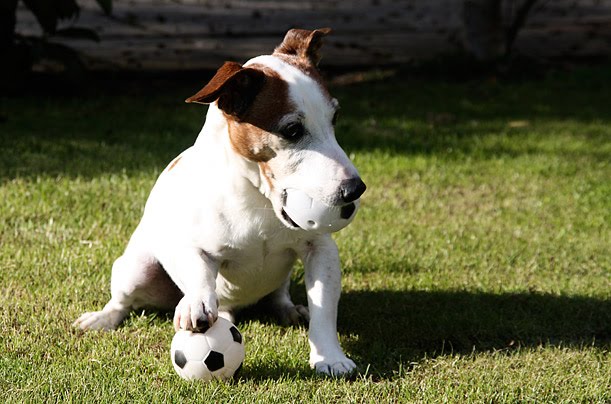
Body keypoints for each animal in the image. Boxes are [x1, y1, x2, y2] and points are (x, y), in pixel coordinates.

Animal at [74, 27, 366, 376]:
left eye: (335, 117)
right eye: (293, 130)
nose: (355, 189)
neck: (258, 200)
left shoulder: (320, 250)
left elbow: (324, 309)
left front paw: (330, 357)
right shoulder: (191, 246)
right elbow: (199, 270)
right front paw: (197, 301)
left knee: (277, 293)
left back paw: (288, 309)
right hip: (136, 270)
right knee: (124, 301)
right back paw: (104, 318)